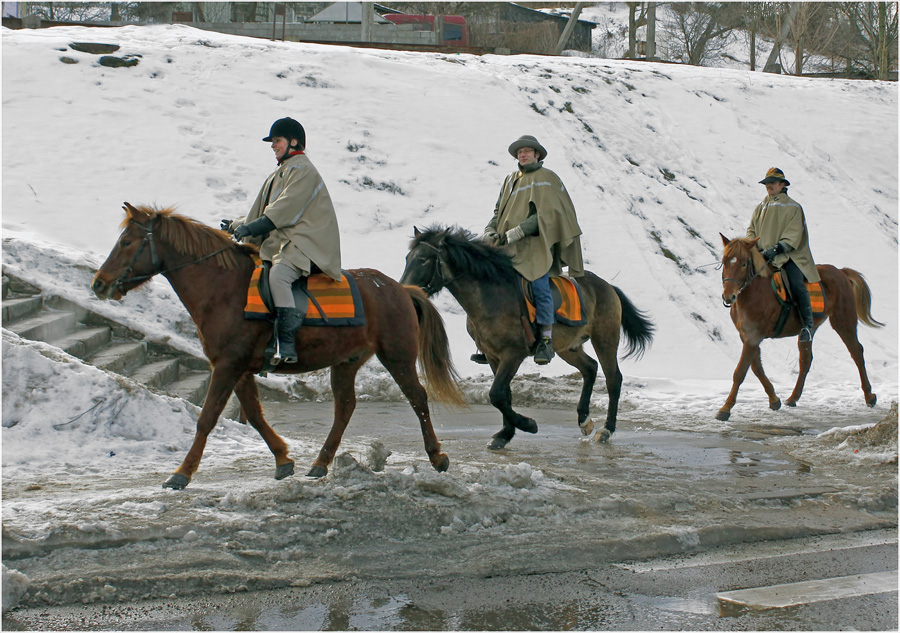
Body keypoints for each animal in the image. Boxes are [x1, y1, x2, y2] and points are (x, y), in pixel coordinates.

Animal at [92, 204, 468, 488]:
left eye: (127, 242)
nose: (99, 284)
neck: (223, 288)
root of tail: (400, 289)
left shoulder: (227, 366)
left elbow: (207, 417)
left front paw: (181, 473)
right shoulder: (239, 369)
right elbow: (256, 415)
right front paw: (283, 460)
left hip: (397, 356)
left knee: (418, 398)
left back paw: (437, 455)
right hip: (346, 362)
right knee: (344, 408)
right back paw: (320, 463)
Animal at [400, 225, 652, 446]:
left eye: (424, 259)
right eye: (407, 258)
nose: (405, 292)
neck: (492, 295)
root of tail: (607, 286)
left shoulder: (513, 353)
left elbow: (496, 394)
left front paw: (527, 424)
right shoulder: (493, 356)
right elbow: (504, 395)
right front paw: (505, 434)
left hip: (605, 338)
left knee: (613, 379)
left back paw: (606, 430)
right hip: (567, 347)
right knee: (590, 368)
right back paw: (584, 420)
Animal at [720, 232, 884, 420]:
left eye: (744, 263)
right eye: (725, 261)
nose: (728, 296)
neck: (754, 292)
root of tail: (841, 272)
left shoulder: (753, 337)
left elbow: (740, 372)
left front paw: (725, 409)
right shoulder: (747, 336)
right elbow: (756, 368)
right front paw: (774, 399)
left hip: (843, 321)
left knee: (856, 352)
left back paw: (869, 396)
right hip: (809, 329)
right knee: (806, 359)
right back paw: (793, 397)